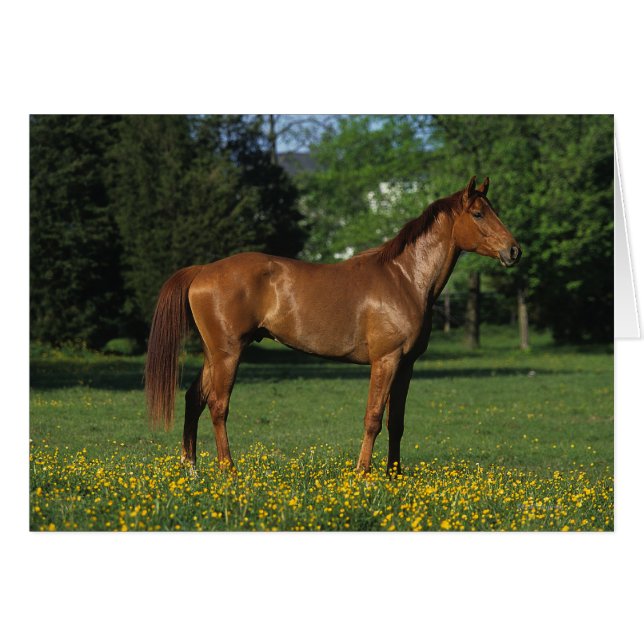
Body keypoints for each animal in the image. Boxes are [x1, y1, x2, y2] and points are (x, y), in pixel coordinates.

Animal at [144, 176, 521, 474]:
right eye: (478, 213)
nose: (514, 250)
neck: (404, 279)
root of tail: (202, 271)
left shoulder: (406, 365)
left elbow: (396, 423)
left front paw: (395, 476)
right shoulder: (385, 361)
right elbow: (373, 419)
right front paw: (362, 473)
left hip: (214, 354)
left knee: (194, 398)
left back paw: (192, 469)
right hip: (228, 354)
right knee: (218, 406)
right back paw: (229, 470)